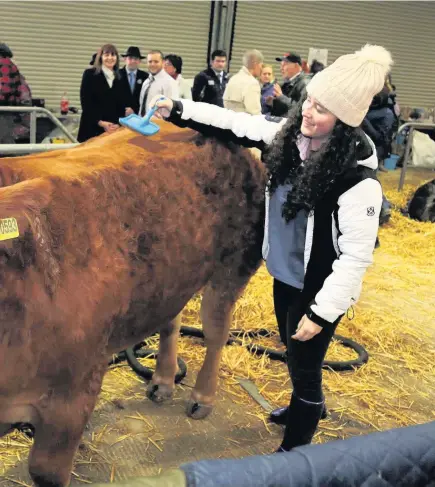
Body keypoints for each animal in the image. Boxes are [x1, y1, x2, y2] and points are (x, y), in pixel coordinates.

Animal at [0, 123, 266, 487]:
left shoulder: (73, 394)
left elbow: (46, 471)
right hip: (171, 272)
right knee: (171, 319)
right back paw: (163, 381)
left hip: (235, 264)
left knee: (216, 330)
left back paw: (201, 397)